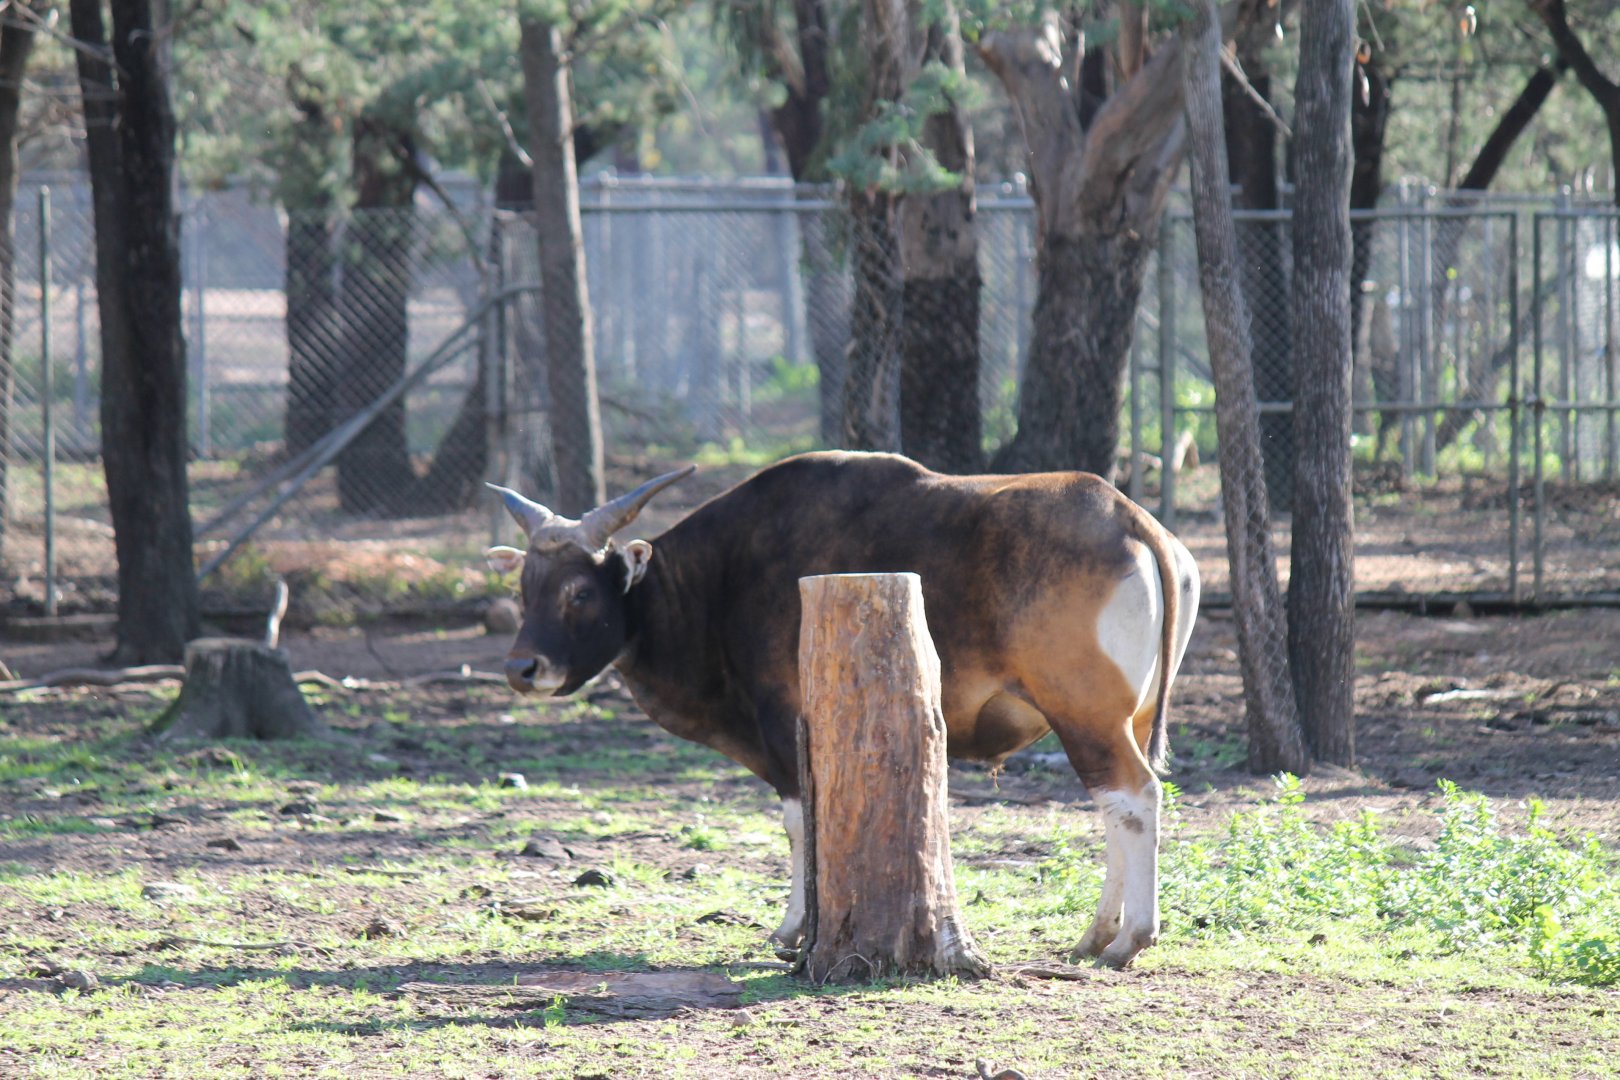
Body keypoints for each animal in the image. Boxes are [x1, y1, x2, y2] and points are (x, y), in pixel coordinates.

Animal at [485, 451, 1199, 969]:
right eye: (525, 587)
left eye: (580, 591)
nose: (522, 669)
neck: (715, 579)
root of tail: (1128, 517)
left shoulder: (784, 725)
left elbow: (800, 821)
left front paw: (795, 929)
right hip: (1125, 719)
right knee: (1117, 804)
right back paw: (1094, 936)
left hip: (1086, 714)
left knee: (1133, 796)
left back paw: (1128, 939)